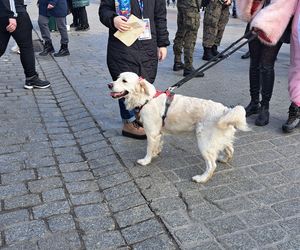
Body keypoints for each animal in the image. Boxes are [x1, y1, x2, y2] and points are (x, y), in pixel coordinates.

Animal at [108, 71, 248, 183]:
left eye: (124, 80)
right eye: (117, 78)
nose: (109, 84)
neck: (147, 99)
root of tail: (225, 110)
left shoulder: (151, 133)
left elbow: (148, 149)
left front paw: (146, 161)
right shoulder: (158, 133)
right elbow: (157, 145)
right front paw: (155, 153)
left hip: (204, 143)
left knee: (211, 165)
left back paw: (201, 178)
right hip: (220, 139)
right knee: (230, 149)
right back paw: (223, 159)